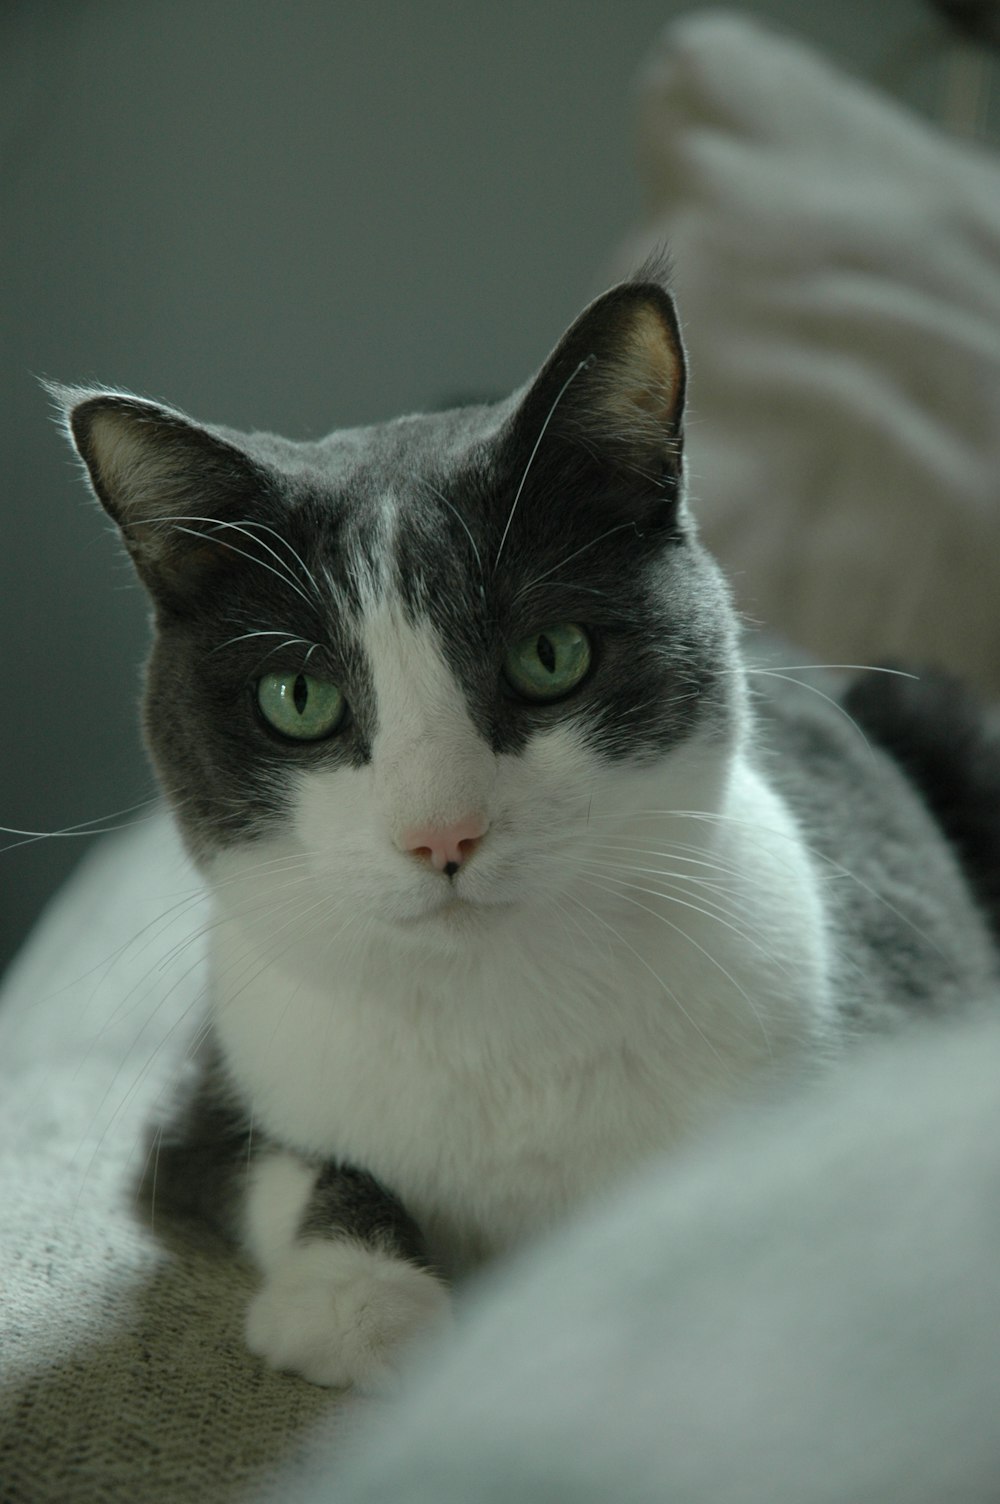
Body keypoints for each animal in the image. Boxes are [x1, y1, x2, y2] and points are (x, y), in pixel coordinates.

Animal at [52, 270, 998, 1383]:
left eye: (551, 655)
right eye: (298, 697)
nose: (442, 834)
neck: (497, 1013)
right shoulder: (212, 1081)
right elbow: (277, 1161)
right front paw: (358, 1298)